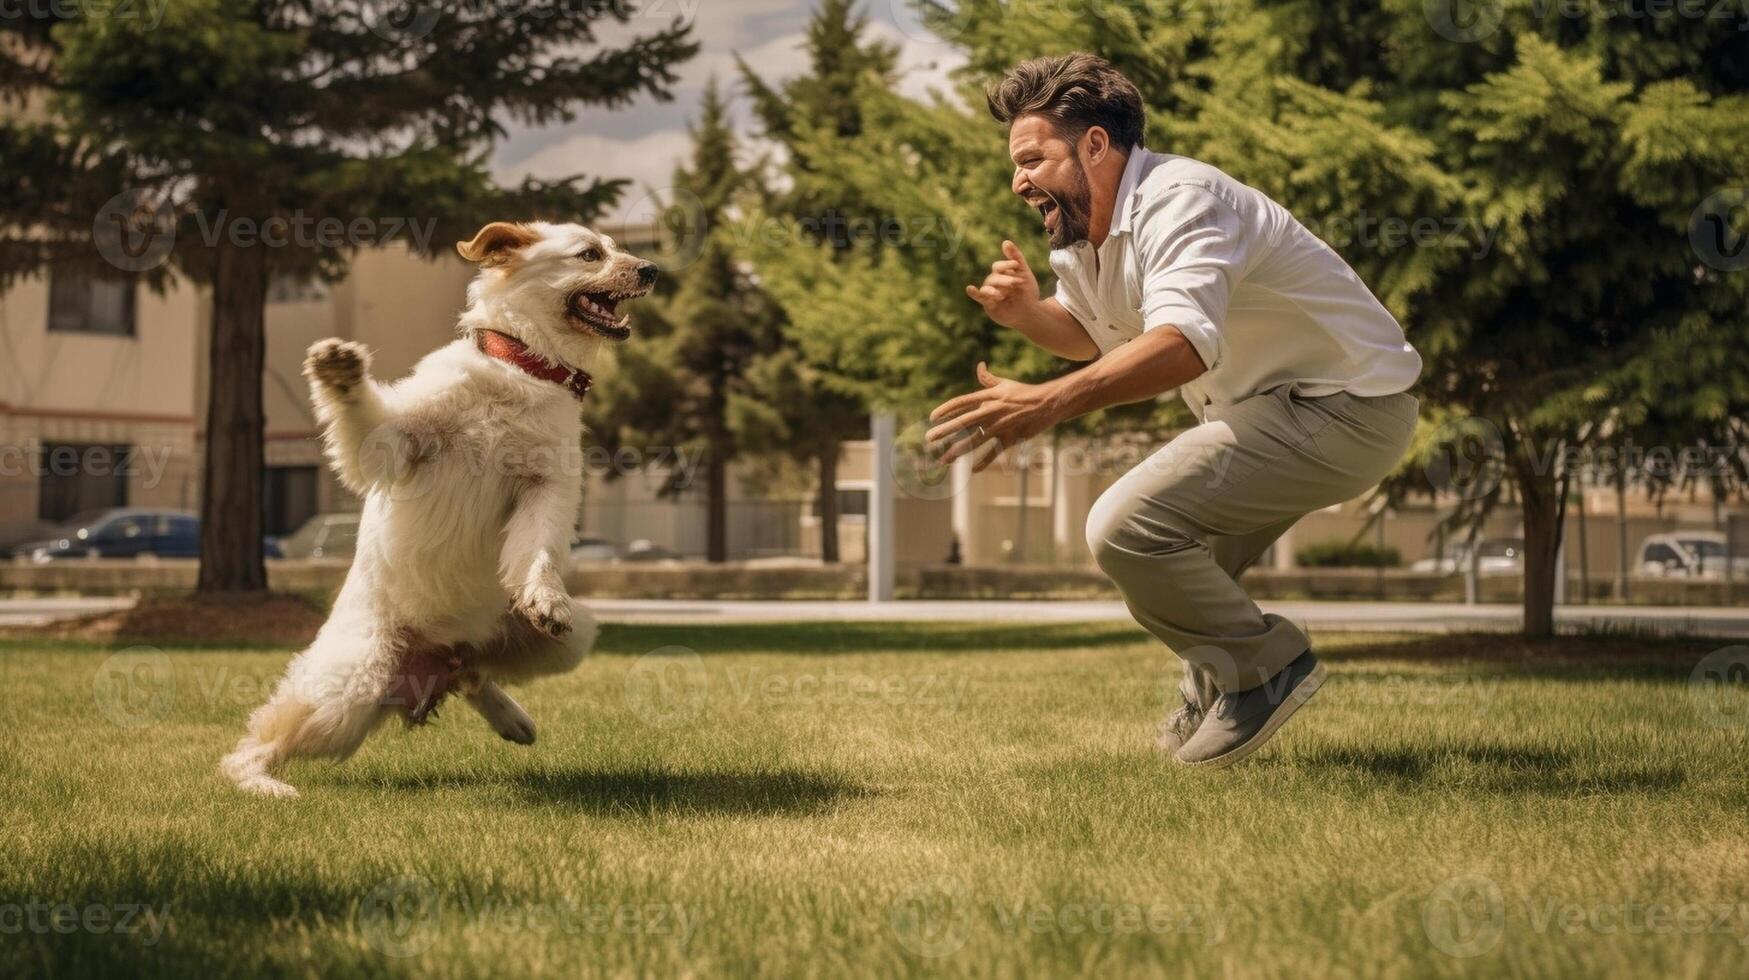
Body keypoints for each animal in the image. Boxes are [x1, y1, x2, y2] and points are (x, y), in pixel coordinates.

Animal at [216, 222, 657, 798]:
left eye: (616, 247)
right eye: (589, 254)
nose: (652, 269)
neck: (519, 371)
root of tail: (432, 665)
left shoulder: (547, 487)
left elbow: (537, 549)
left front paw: (544, 597)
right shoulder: (398, 443)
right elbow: (365, 418)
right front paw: (340, 371)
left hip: (572, 637)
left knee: (475, 675)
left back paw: (513, 717)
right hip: (346, 693)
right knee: (254, 744)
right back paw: (262, 785)